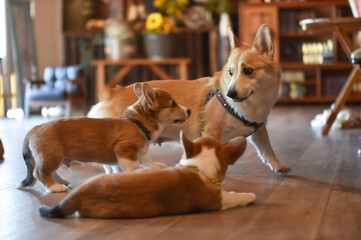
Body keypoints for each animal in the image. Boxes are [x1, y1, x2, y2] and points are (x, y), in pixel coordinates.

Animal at [18, 83, 190, 192]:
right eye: (173, 104)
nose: (189, 110)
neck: (137, 123)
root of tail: (33, 129)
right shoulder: (124, 149)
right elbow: (133, 165)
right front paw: (139, 173)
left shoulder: (133, 153)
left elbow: (143, 159)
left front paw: (154, 166)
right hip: (52, 156)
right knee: (39, 173)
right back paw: (55, 187)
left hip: (57, 158)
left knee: (50, 172)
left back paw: (61, 182)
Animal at [88, 24, 292, 173]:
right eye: (230, 72)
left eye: (248, 71)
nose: (230, 94)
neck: (253, 103)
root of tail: (111, 93)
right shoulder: (210, 133)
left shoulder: (259, 129)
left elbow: (267, 149)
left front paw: (278, 166)